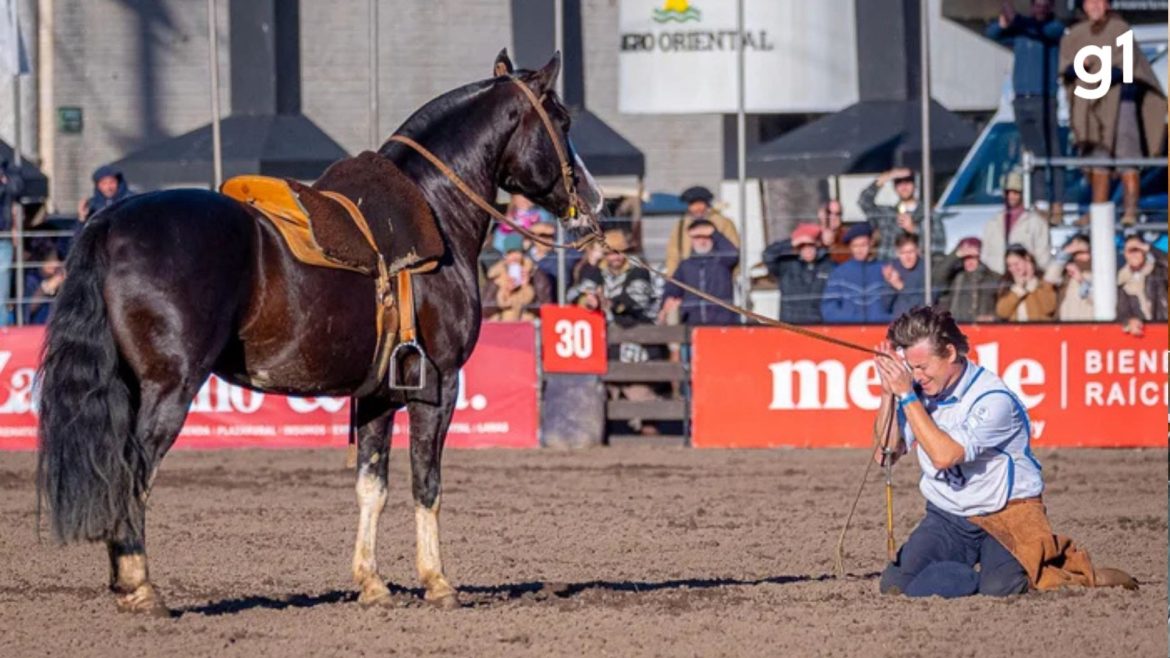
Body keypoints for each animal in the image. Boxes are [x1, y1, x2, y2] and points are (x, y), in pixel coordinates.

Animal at [35, 50, 603, 615]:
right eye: (563, 120)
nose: (594, 200)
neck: (436, 212)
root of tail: (110, 222)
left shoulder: (378, 396)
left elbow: (372, 486)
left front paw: (372, 583)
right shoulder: (438, 387)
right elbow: (427, 482)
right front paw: (438, 582)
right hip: (169, 387)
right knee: (134, 470)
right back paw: (142, 588)